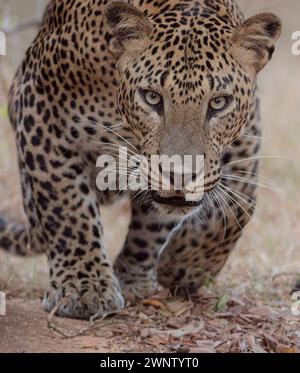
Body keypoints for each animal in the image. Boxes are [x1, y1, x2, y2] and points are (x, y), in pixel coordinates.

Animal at [0, 0, 282, 318]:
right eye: (151, 97)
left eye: (219, 103)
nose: (179, 175)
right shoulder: (37, 106)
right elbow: (66, 206)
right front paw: (84, 287)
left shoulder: (248, 137)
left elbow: (239, 204)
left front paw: (183, 264)